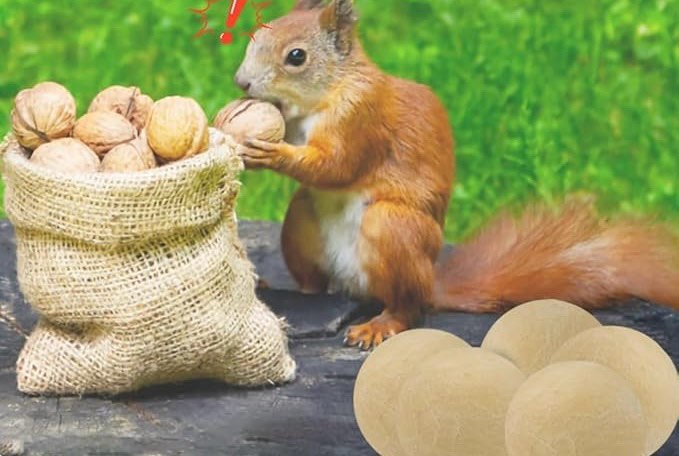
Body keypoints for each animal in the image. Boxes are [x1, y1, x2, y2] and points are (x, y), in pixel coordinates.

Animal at [234, 0, 679, 349]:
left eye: (296, 57)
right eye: (253, 39)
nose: (241, 81)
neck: (327, 92)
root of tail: (431, 282)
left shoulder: (362, 117)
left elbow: (337, 164)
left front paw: (271, 152)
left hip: (393, 229)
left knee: (408, 308)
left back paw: (381, 324)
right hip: (300, 222)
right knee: (316, 284)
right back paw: (281, 288)